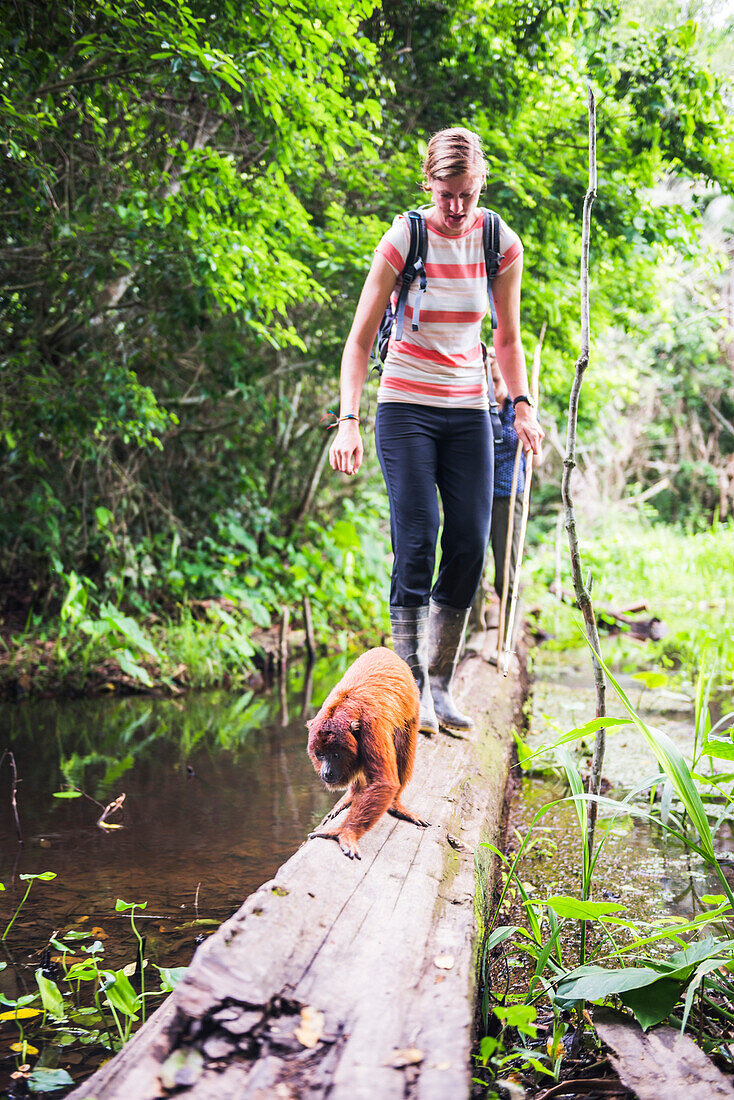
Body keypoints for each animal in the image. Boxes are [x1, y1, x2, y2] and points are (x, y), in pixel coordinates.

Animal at [305, 642, 431, 858]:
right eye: (319, 755)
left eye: (336, 755)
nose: (326, 772)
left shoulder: (373, 727)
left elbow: (385, 782)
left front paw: (345, 832)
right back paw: (352, 795)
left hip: (413, 710)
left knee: (403, 751)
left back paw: (395, 804)